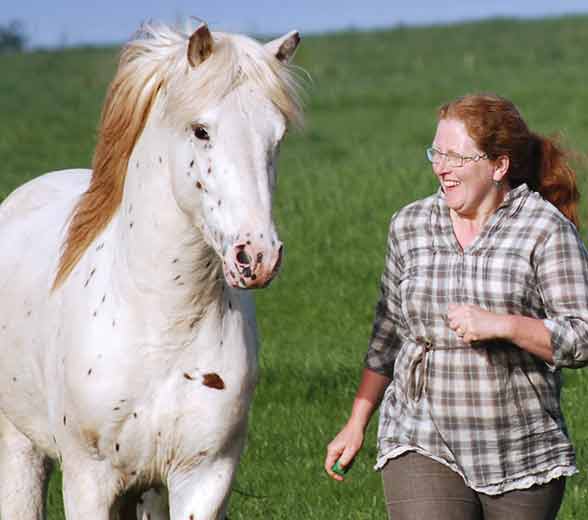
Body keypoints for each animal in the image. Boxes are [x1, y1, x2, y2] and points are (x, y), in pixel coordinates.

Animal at [0, 20, 304, 520]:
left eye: (275, 138)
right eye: (201, 130)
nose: (257, 256)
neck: (161, 324)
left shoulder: (203, 478)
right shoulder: (88, 479)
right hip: (19, 449)